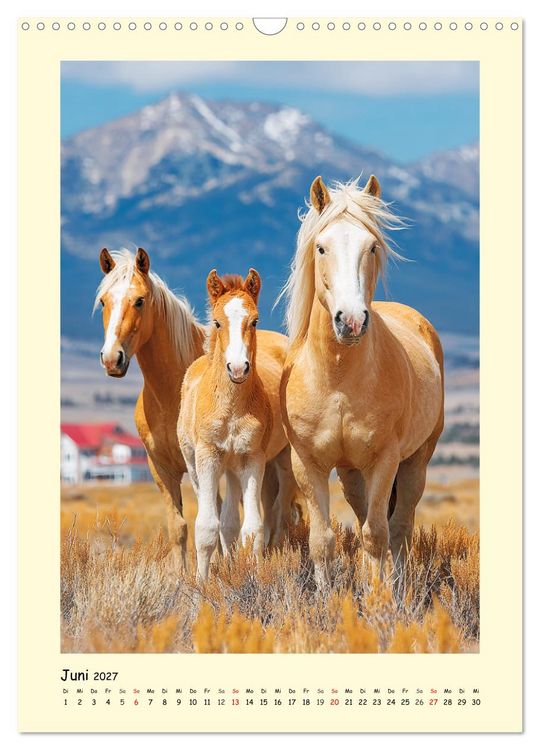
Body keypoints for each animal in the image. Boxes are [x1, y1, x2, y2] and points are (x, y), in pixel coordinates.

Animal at [178, 269, 295, 580]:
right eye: (217, 322)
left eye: (254, 320)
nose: (238, 369)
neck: (230, 408)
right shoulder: (208, 457)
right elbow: (207, 527)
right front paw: (202, 585)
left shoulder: (252, 458)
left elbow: (252, 529)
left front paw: (253, 577)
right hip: (199, 465)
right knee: (223, 519)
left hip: (266, 462)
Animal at [279, 176, 444, 588]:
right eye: (321, 247)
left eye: (371, 246)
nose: (351, 321)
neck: (337, 379)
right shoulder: (308, 464)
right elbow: (322, 541)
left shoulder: (385, 460)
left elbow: (376, 536)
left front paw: (379, 597)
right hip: (351, 474)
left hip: (416, 461)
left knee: (400, 528)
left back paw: (397, 586)